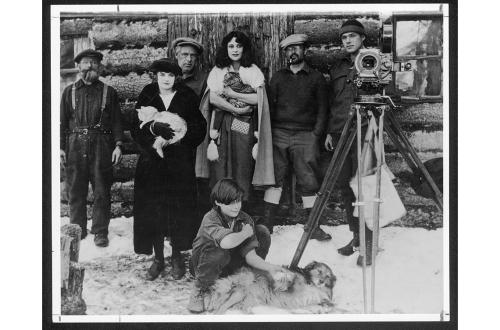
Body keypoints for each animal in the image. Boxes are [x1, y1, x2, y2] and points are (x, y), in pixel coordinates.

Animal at [202, 262, 336, 314]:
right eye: (319, 271)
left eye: (328, 276)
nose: (321, 281)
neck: (310, 283)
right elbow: (287, 276)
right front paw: (283, 276)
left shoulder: (306, 301)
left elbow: (319, 305)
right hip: (239, 292)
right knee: (220, 307)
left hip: (246, 299)